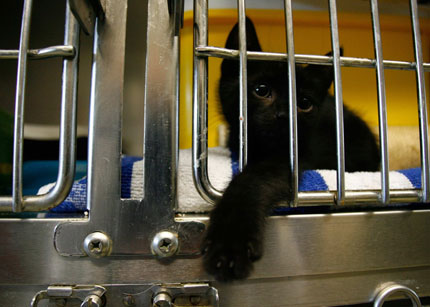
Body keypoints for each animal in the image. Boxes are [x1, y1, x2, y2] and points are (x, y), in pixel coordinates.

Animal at [202, 18, 380, 284]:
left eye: (304, 104)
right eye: (261, 90)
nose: (285, 115)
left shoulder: (290, 159)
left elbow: (252, 181)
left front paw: (230, 243)